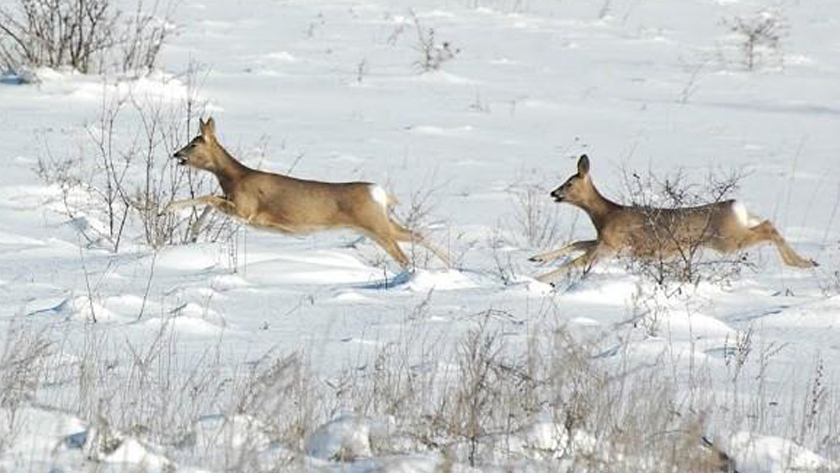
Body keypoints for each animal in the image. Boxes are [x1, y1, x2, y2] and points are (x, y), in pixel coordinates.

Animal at [167, 117, 450, 270]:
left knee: (404, 255)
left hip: (376, 226)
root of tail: (379, 193)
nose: (176, 154)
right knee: (417, 235)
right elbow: (209, 200)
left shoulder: (247, 210)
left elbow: (207, 198)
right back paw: (451, 263)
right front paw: (192, 233)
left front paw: (166, 211)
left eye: (194, 144)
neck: (235, 178)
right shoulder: (235, 205)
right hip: (381, 224)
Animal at [532, 154, 812, 284]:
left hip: (727, 240)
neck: (605, 215)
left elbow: (577, 260)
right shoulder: (606, 242)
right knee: (767, 224)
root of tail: (735, 206)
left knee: (769, 227)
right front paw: (536, 259)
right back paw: (807, 262)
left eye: (569, 183)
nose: (554, 193)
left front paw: (542, 279)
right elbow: (577, 243)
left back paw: (803, 263)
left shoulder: (612, 244)